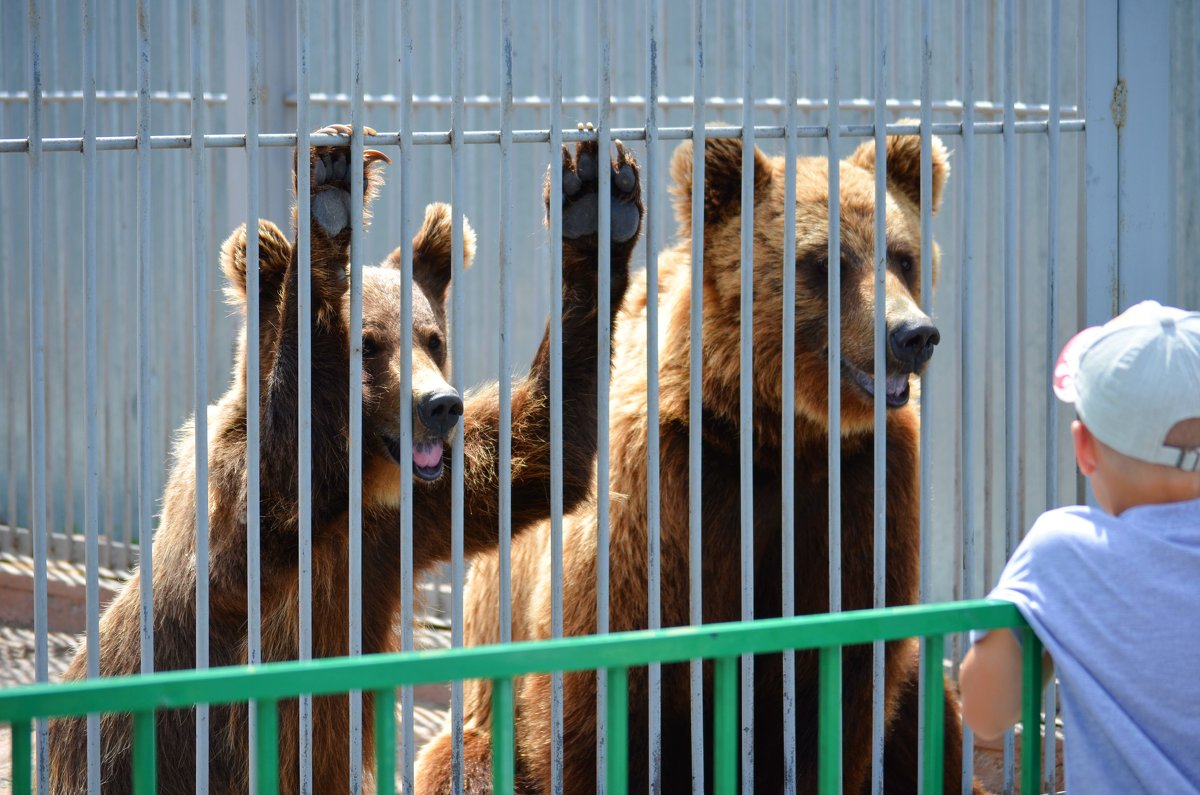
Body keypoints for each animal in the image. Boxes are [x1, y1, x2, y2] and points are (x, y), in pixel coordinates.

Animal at [45, 126, 643, 795]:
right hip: (128, 750)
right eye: (369, 345)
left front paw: (595, 203)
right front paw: (329, 202)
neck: (357, 482)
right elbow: (281, 485)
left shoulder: (401, 520)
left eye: (433, 339)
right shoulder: (237, 523)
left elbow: (542, 455)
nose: (441, 405)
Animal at [422, 127, 984, 792]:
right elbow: (603, 706)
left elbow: (830, 693)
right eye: (825, 262)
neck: (772, 437)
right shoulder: (669, 498)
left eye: (902, 256)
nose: (913, 335)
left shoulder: (856, 491)